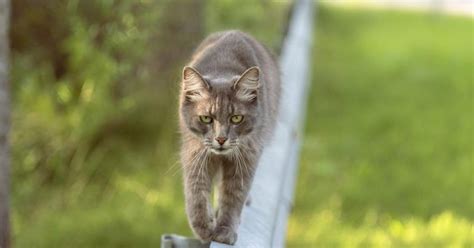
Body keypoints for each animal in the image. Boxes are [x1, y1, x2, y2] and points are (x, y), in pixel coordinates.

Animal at [180, 29, 280, 244]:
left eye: (236, 118)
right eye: (206, 118)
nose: (221, 139)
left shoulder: (246, 156)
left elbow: (233, 196)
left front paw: (224, 231)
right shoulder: (195, 152)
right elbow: (195, 193)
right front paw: (204, 227)